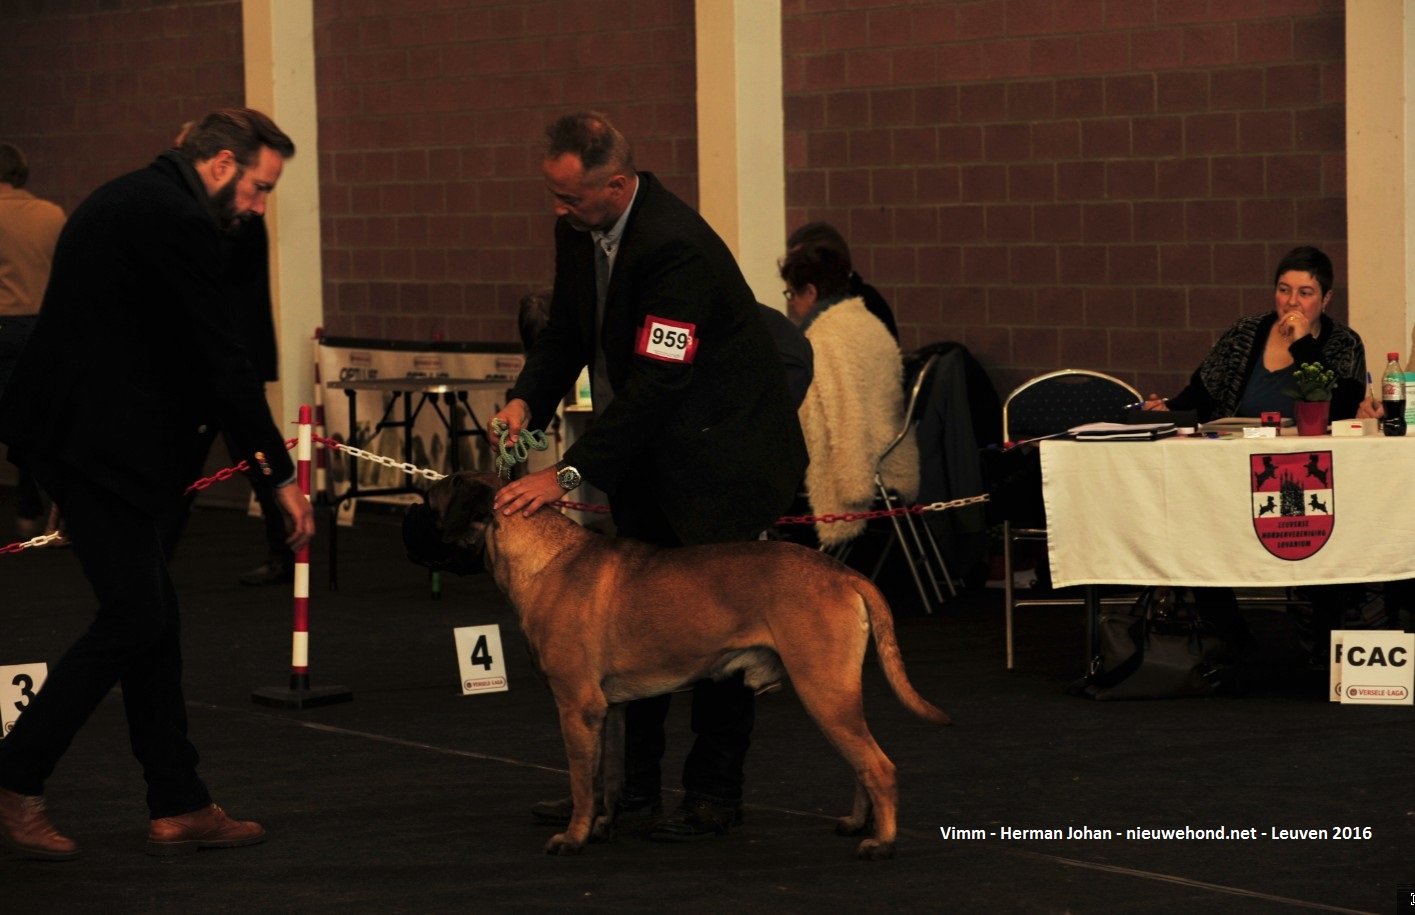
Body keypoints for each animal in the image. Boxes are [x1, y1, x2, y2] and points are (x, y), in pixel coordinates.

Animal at [410, 472, 950, 859]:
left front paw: (573, 837)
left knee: (879, 766)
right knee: (862, 762)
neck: (542, 557)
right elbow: (609, 778)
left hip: (823, 690)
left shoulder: (576, 708)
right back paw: (859, 823)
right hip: (836, 694)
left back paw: (882, 843)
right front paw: (602, 828)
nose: (406, 523)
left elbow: (582, 783)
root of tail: (845, 572)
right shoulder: (608, 711)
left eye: (428, 504)